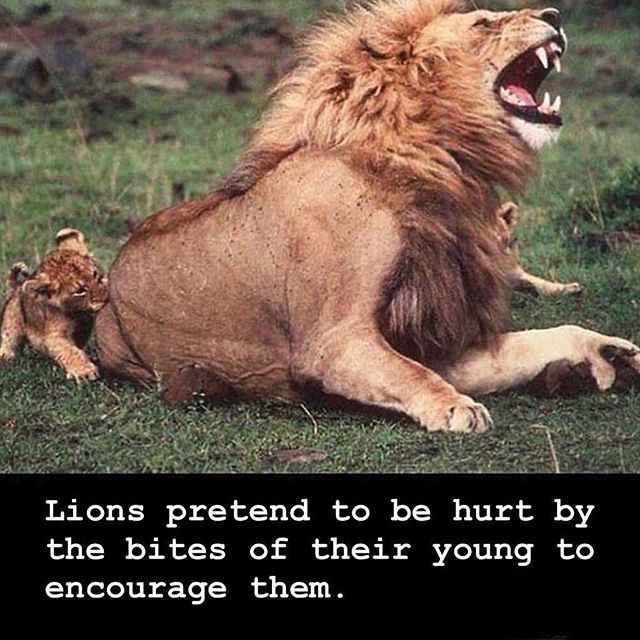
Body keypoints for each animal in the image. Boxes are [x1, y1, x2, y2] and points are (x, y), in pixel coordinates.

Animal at [0, 229, 109, 382]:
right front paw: (84, 371)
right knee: (9, 341)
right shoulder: (54, 336)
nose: (106, 297)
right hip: (11, 324)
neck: (78, 313)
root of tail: (16, 288)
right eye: (80, 291)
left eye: (96, 275)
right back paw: (6, 358)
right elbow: (69, 351)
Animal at [96, 0, 640, 433]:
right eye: (484, 22)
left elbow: (551, 335)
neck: (438, 160)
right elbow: (410, 374)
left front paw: (610, 353)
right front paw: (457, 408)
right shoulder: (333, 341)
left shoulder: (435, 337)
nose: (555, 14)